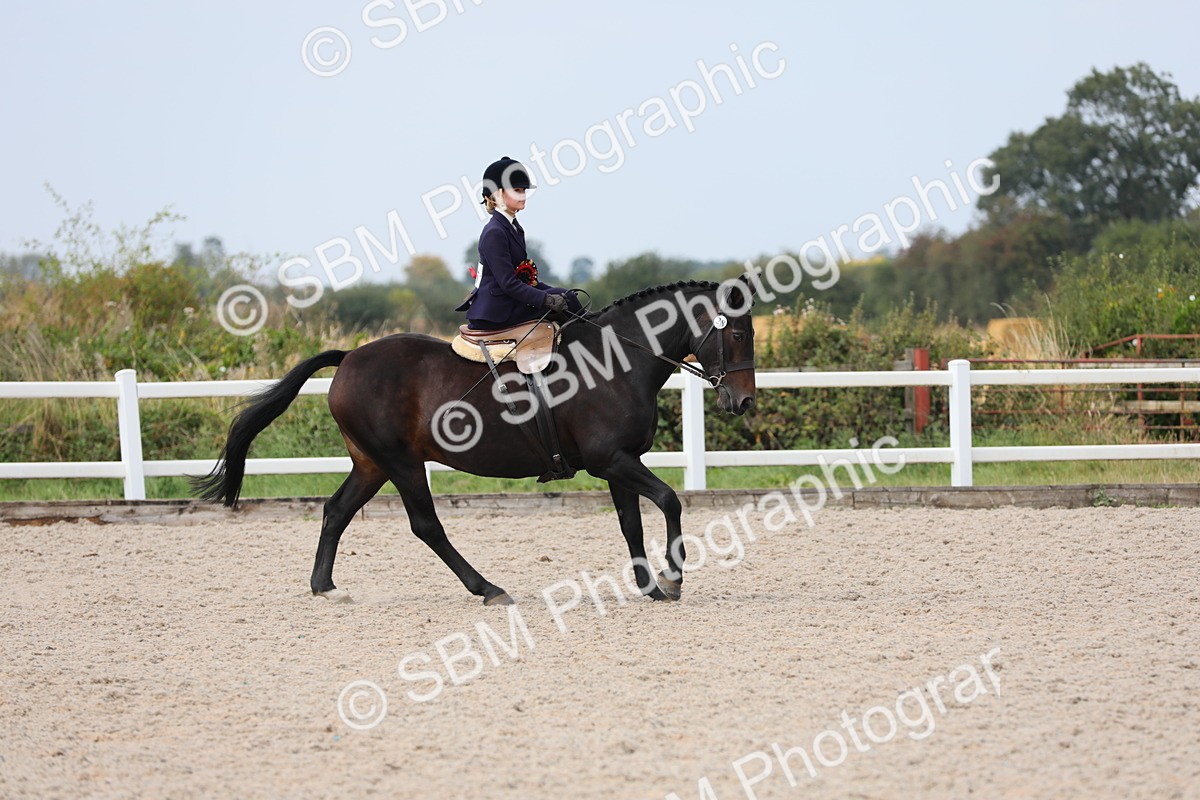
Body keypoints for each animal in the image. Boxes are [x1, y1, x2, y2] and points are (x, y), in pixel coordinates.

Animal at [192, 278, 757, 605]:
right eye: (736, 334)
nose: (745, 402)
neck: (617, 361)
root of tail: (349, 356)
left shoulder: (619, 461)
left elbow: (631, 523)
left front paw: (649, 586)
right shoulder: (612, 460)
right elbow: (669, 500)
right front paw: (673, 579)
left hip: (371, 463)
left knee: (336, 511)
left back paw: (324, 587)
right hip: (401, 463)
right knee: (426, 526)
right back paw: (488, 588)